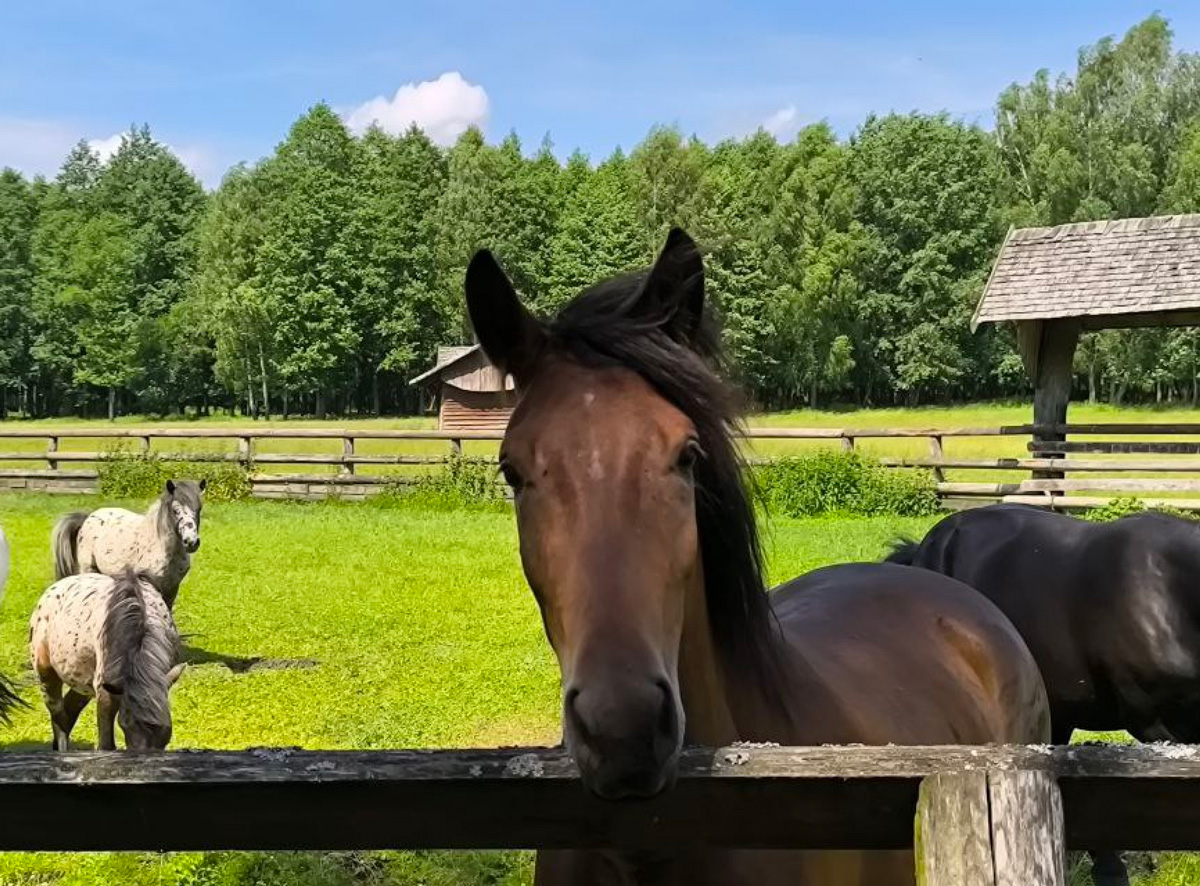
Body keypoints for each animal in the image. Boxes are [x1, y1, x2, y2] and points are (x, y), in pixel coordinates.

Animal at [28, 566, 184, 744]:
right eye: (126, 725)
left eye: (166, 731)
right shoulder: (106, 693)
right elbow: (106, 742)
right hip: (46, 676)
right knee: (59, 719)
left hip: (83, 683)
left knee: (68, 713)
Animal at [51, 475, 205, 607]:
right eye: (175, 510)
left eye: (198, 509)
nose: (191, 542)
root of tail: (87, 518)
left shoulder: (172, 588)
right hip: (88, 569)